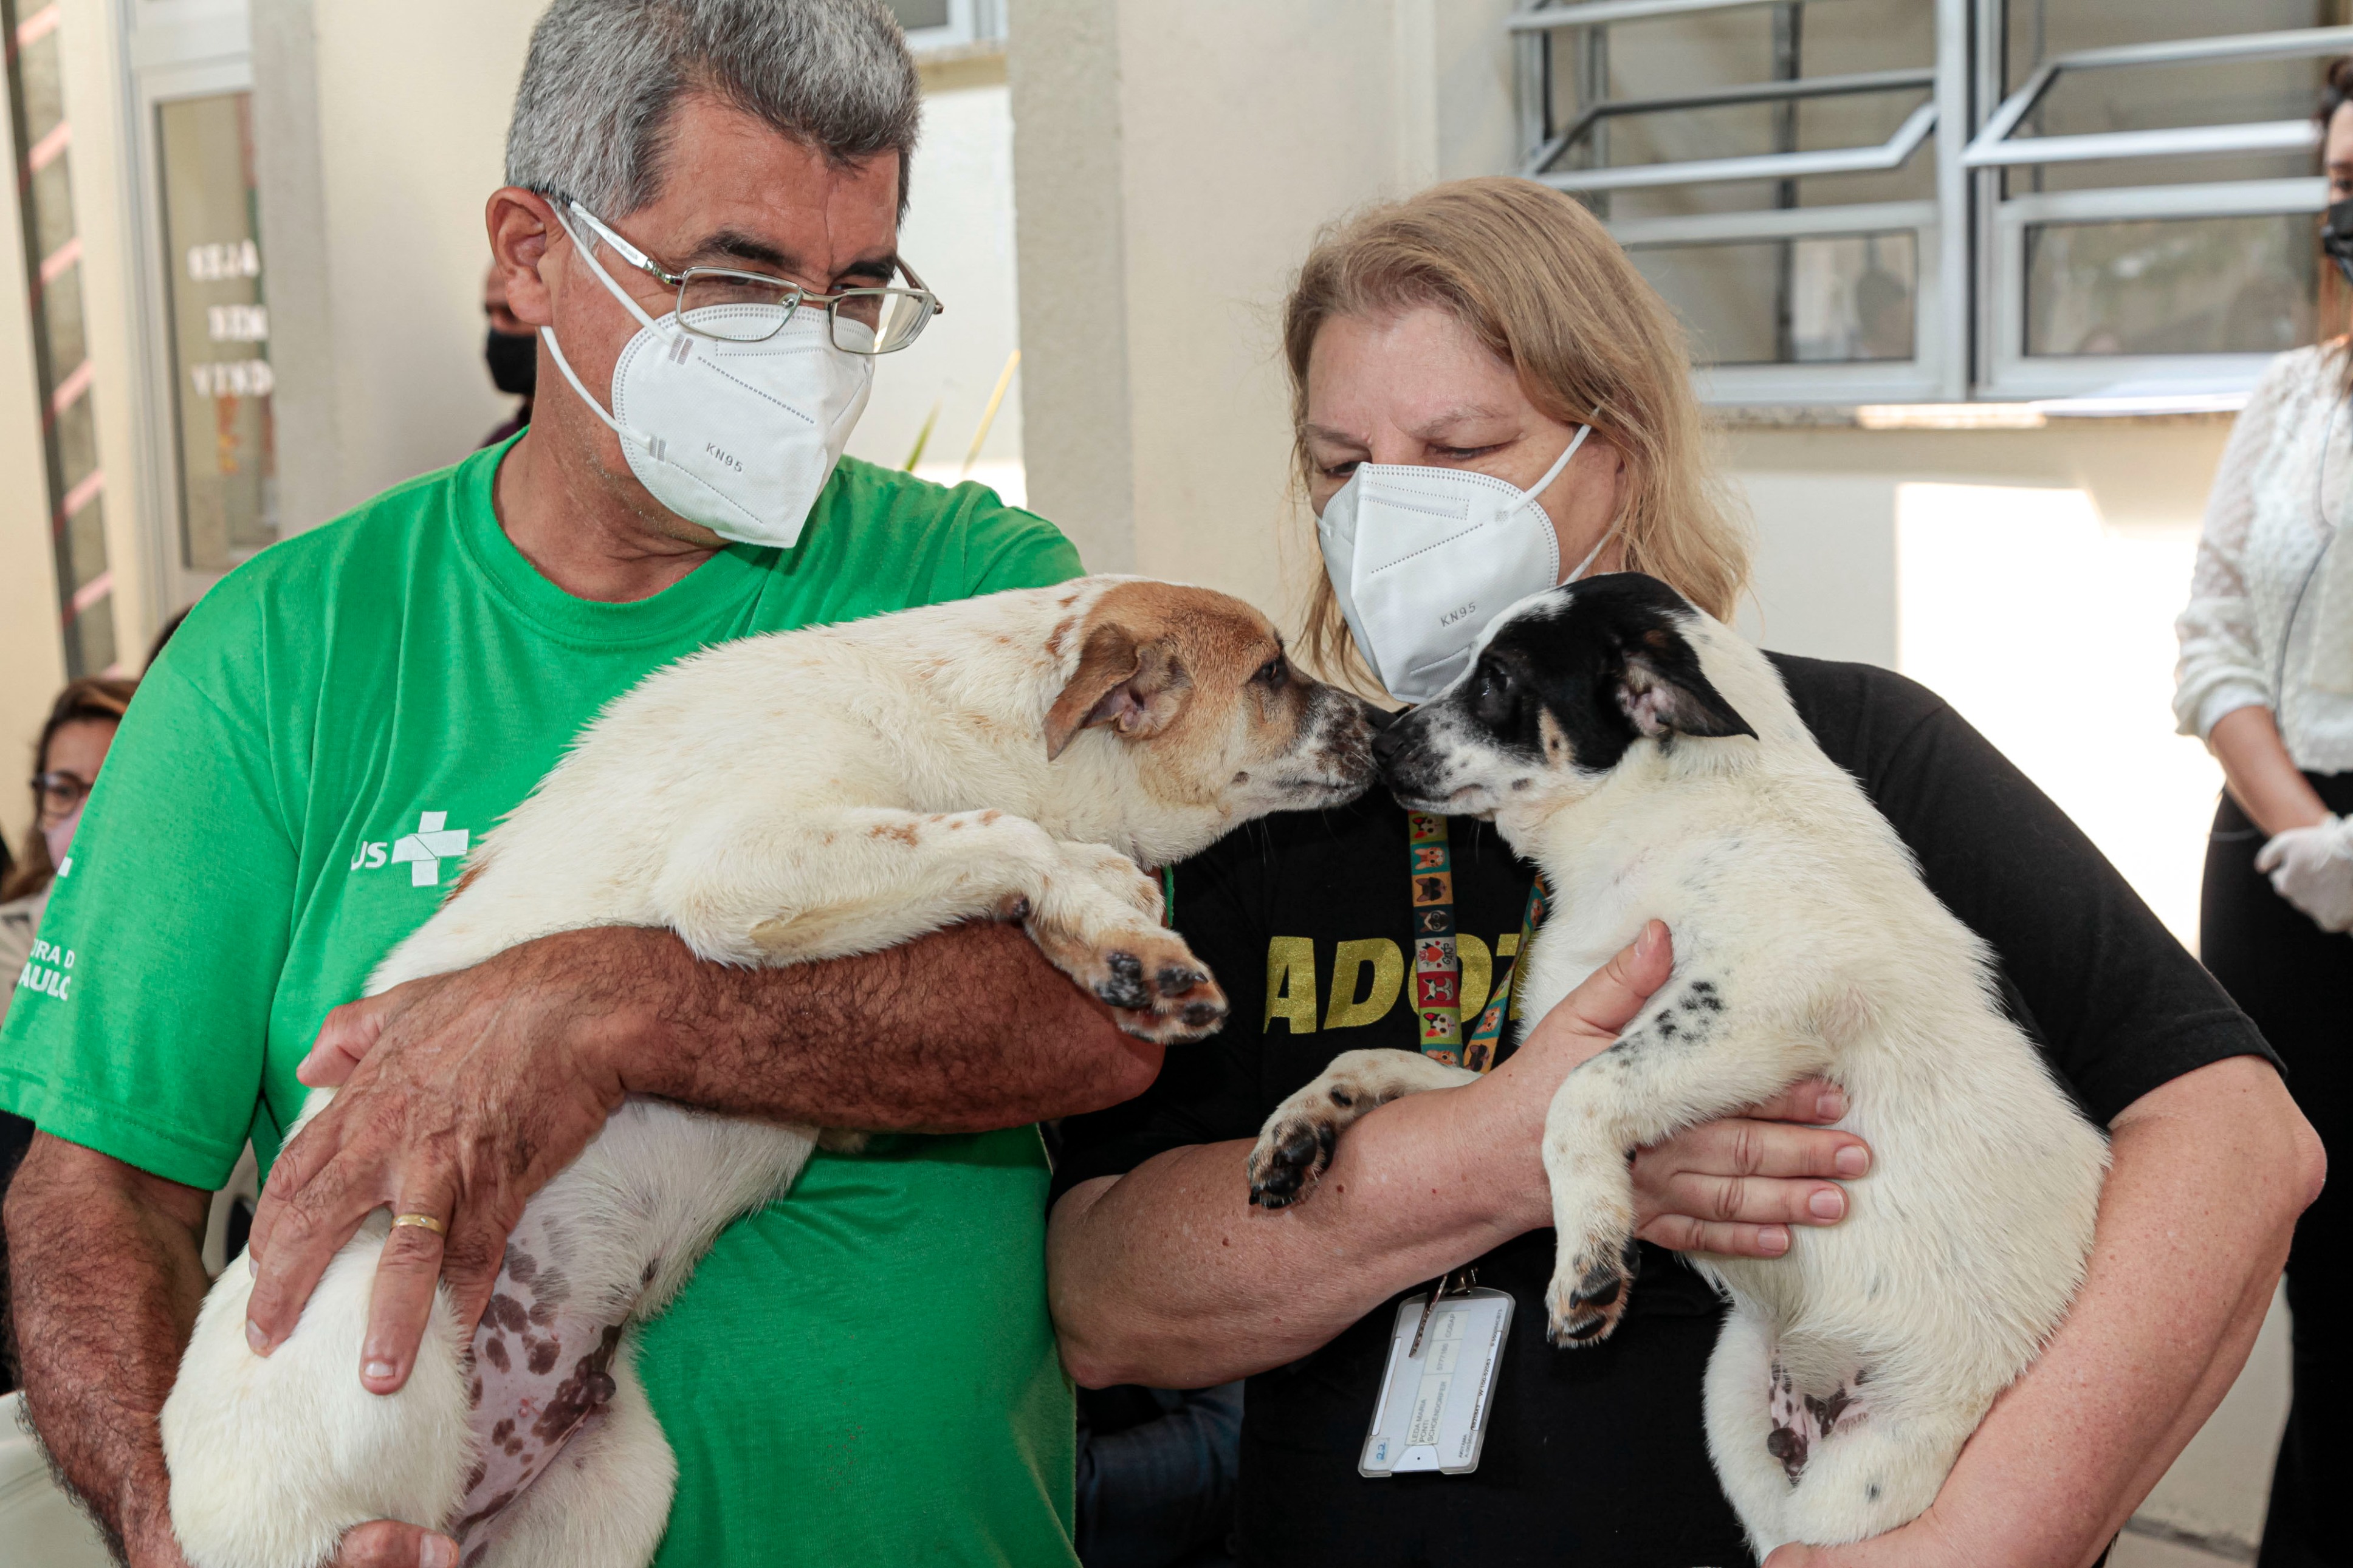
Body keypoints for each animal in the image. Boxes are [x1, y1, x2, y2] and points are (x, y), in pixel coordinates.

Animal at [165, 576, 1374, 1568]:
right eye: (1271, 672)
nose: (1391, 722)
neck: (970, 717)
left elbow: (1028, 867)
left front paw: (1114, 941)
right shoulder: (740, 868)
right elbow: (999, 832)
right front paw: (1114, 922)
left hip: (614, 1498)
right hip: (386, 1389)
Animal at [1242, 573, 2108, 1561]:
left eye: (1496, 679)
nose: (1378, 737)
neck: (1658, 817)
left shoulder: (1760, 1001)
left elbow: (1577, 1101)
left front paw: (1588, 1255)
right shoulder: (1534, 1058)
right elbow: (1381, 1060)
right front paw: (1300, 1128)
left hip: (1871, 1478)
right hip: (1732, 1402)